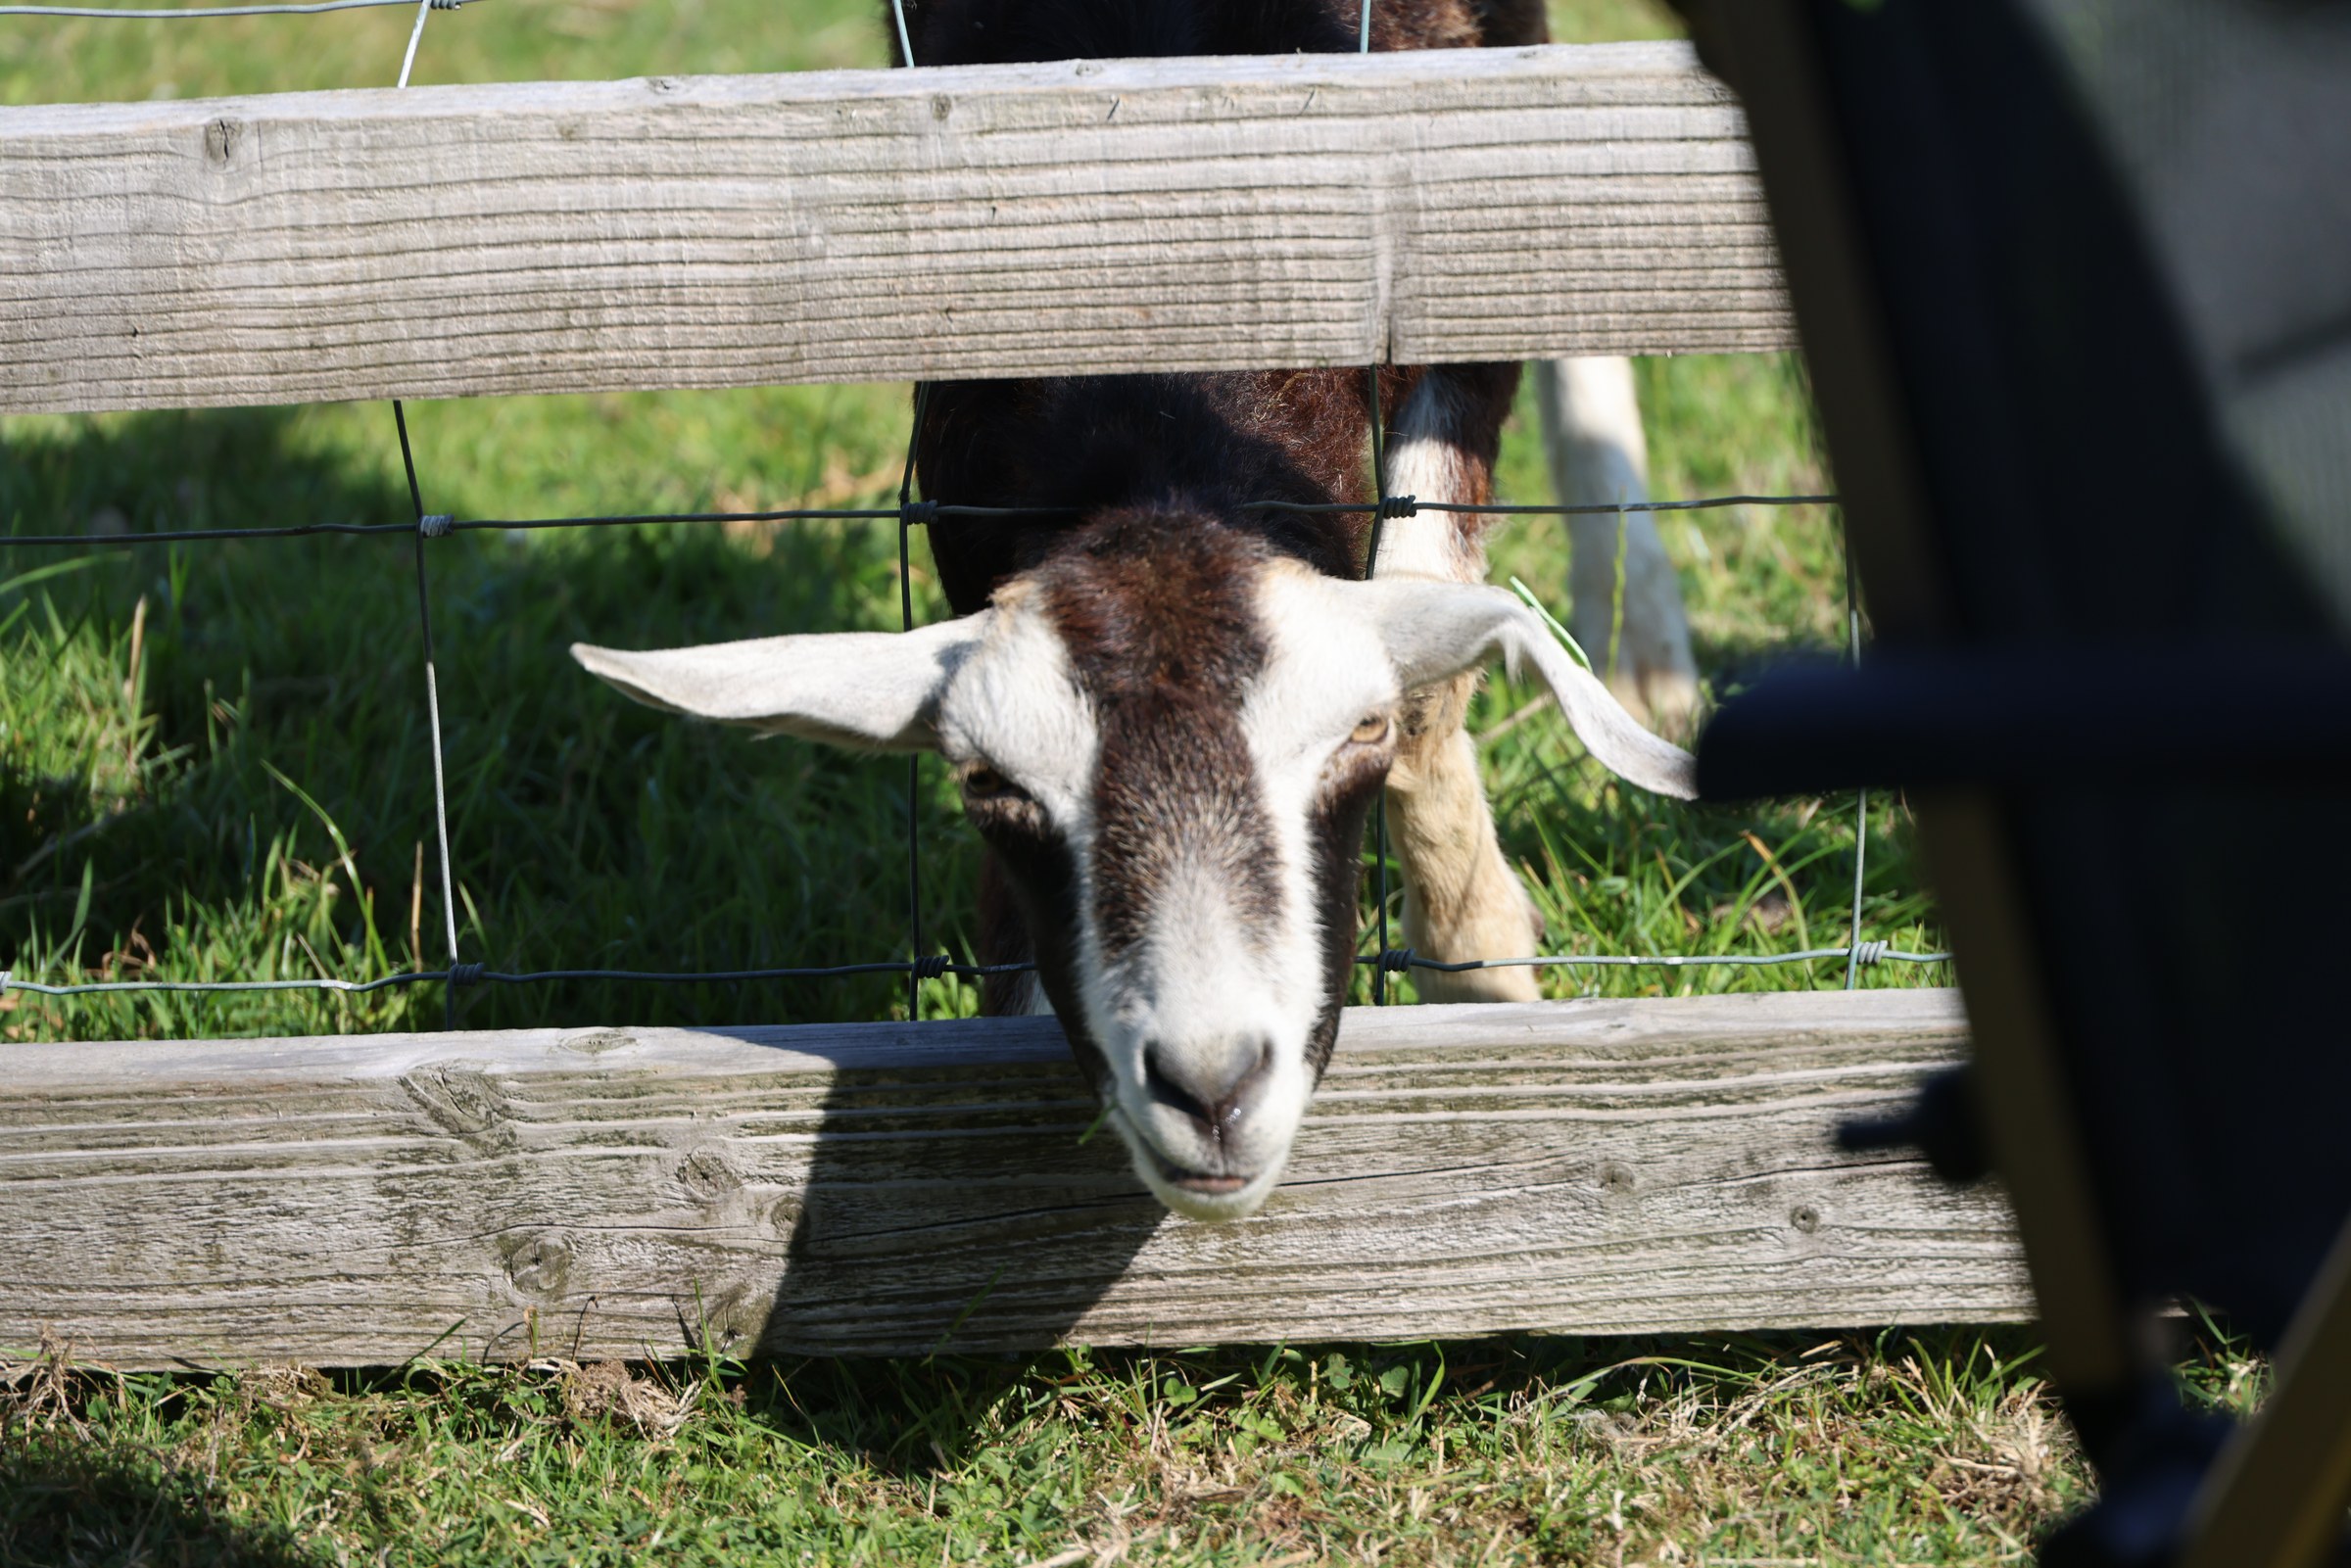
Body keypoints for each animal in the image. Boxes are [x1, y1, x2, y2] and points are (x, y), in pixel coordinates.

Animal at [572, 0, 1699, 1222]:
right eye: (989, 783)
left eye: (1357, 734)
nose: (1211, 1084)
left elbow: (1433, 636)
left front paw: (1480, 961)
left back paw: (1641, 640)